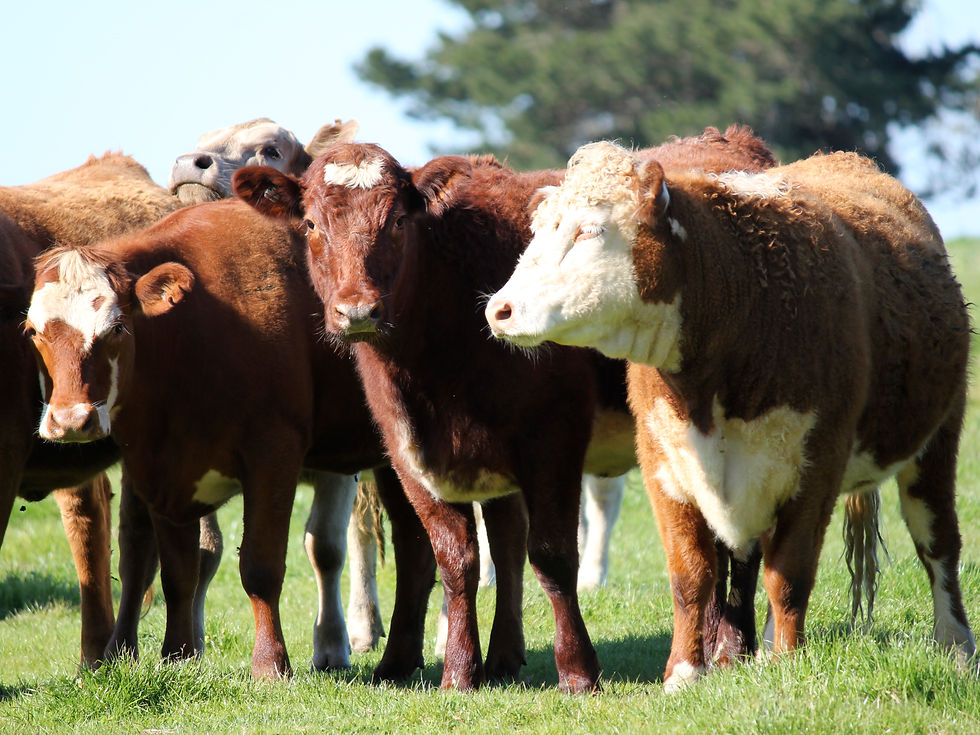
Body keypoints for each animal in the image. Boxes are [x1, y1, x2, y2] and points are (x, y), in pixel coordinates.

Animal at [230, 127, 780, 691]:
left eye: (399, 220)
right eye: (311, 224)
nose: (357, 310)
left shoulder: (553, 438)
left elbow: (552, 556)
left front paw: (577, 671)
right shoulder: (408, 453)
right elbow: (455, 558)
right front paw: (459, 672)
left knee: (742, 539)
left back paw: (733, 648)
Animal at [484, 141, 976, 689]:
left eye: (588, 230)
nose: (499, 309)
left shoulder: (815, 468)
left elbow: (789, 575)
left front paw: (787, 666)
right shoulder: (664, 467)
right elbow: (691, 575)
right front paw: (683, 672)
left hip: (936, 442)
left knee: (938, 545)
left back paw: (956, 648)